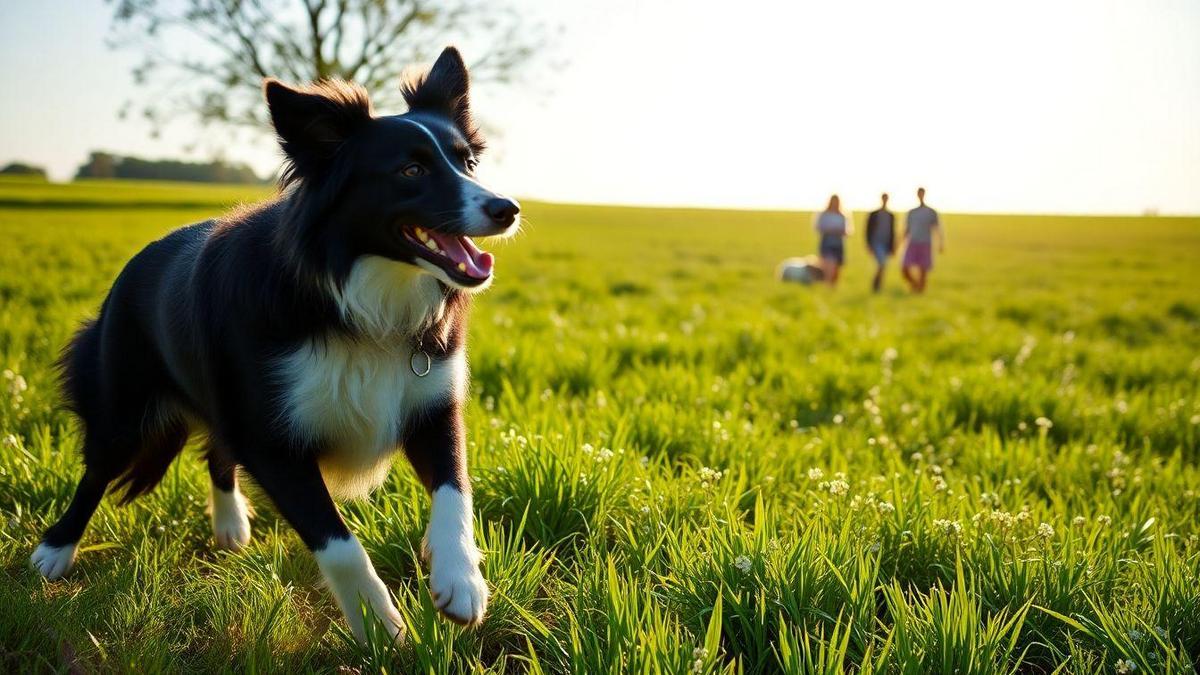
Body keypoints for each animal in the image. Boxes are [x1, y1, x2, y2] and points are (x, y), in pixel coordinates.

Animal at [32, 44, 516, 638]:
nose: (507, 208)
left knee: (216, 453)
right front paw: (379, 626)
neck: (357, 297)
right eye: (411, 170)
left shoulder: (432, 406)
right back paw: (55, 550)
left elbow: (455, 493)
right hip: (122, 402)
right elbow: (339, 544)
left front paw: (460, 581)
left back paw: (230, 524)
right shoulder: (270, 439)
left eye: (468, 163)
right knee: (98, 469)